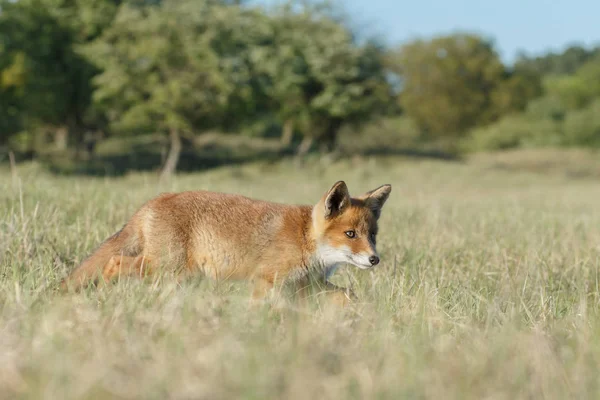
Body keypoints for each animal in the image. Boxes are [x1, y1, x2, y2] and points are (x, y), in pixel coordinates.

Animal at [59, 180, 390, 304]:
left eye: (372, 235)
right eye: (350, 234)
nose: (375, 259)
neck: (305, 239)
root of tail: (155, 200)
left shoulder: (308, 286)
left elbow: (348, 296)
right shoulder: (266, 280)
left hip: (175, 274)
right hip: (166, 268)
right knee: (114, 262)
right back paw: (104, 297)